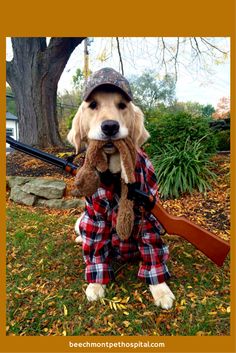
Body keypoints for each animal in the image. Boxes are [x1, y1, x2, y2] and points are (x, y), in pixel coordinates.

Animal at [67, 71, 174, 308]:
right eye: (93, 105)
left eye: (122, 105)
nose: (109, 126)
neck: (114, 175)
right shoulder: (94, 216)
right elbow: (94, 249)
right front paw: (96, 284)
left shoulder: (148, 217)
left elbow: (153, 253)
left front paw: (161, 290)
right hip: (81, 219)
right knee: (82, 235)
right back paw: (79, 240)